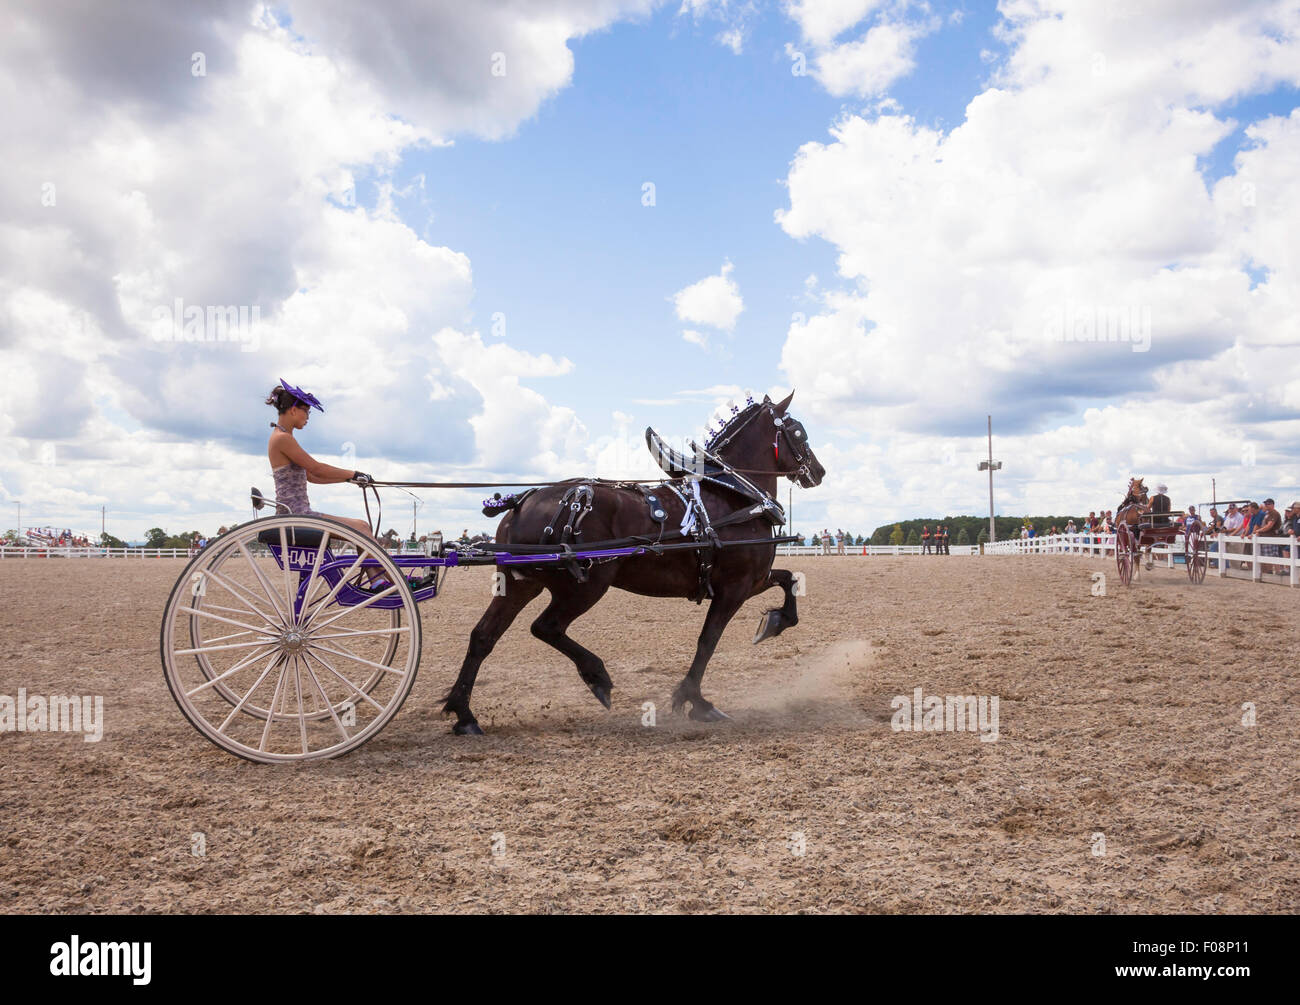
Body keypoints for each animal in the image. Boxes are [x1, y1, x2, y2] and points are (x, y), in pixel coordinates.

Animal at [441, 391, 826, 735]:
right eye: (798, 432)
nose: (819, 472)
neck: (737, 496)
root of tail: (524, 500)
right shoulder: (735, 587)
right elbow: (708, 641)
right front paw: (695, 701)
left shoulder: (753, 580)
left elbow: (789, 579)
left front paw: (774, 622)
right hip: (584, 587)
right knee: (545, 627)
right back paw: (598, 677)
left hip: (521, 583)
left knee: (483, 636)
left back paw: (464, 714)